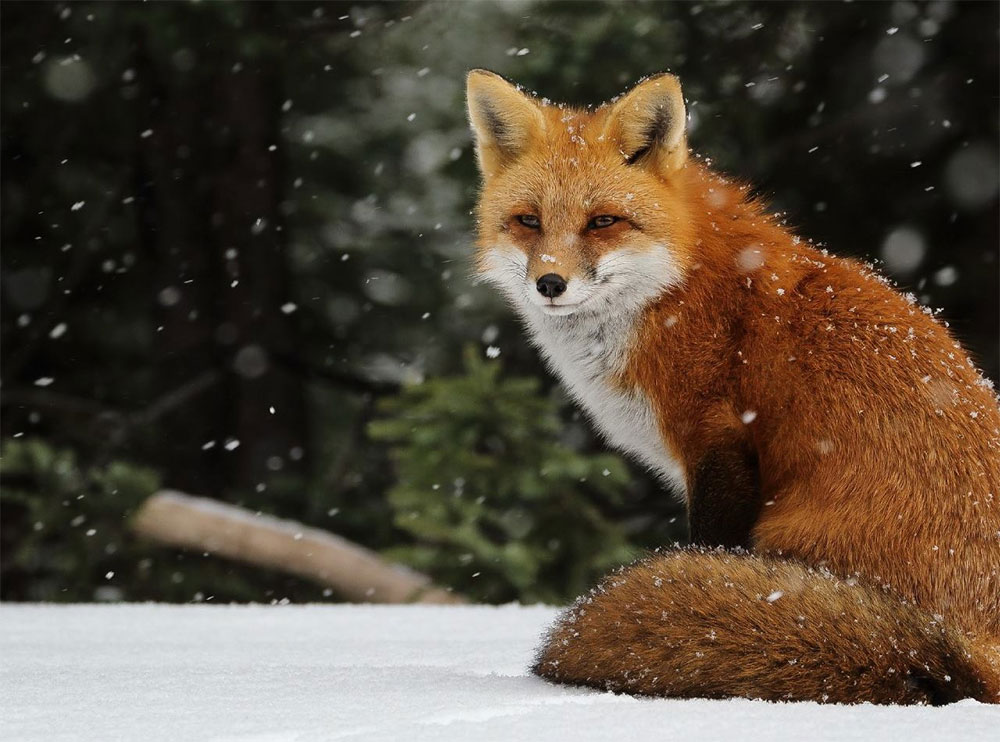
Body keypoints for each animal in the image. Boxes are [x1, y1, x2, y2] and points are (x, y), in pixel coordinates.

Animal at [464, 68, 1000, 704]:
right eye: (528, 221)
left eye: (603, 221)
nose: (550, 283)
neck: (674, 289)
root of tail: (966, 651)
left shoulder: (717, 441)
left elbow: (707, 547)